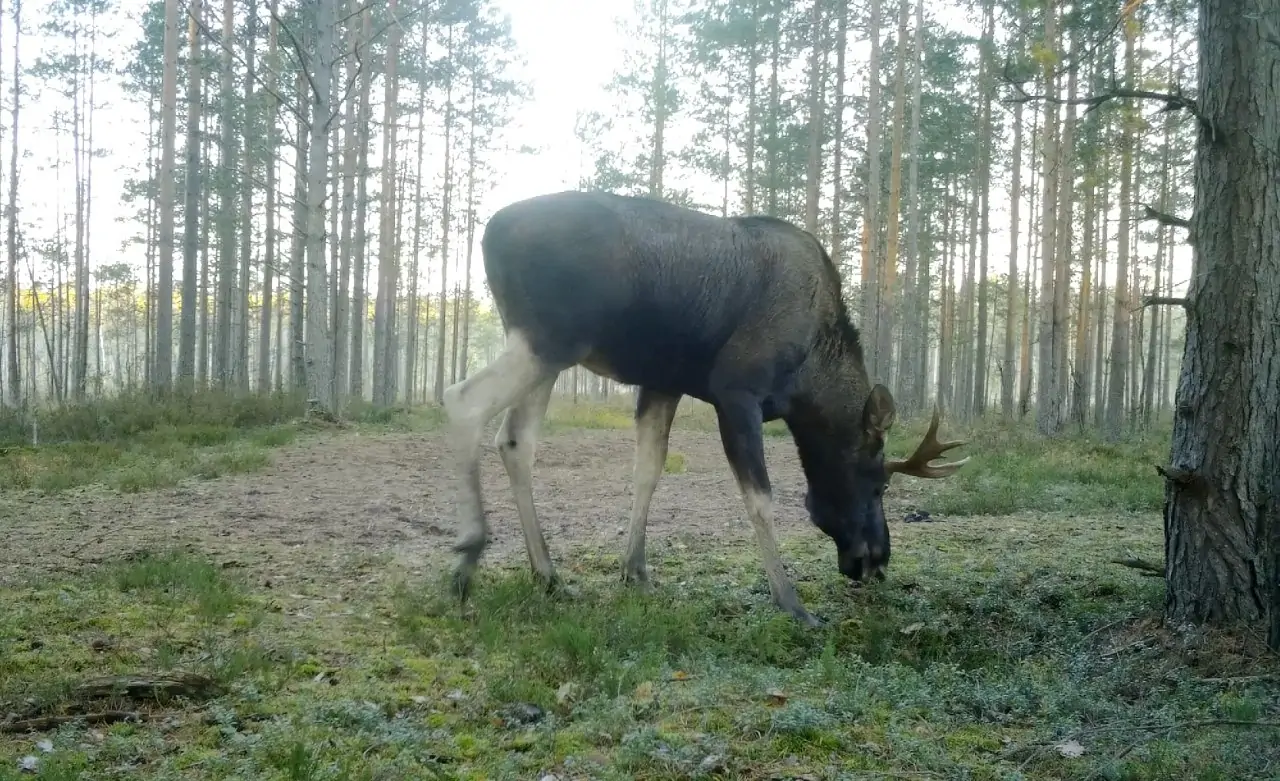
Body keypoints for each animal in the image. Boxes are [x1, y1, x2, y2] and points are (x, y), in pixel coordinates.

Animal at [441, 190, 968, 627]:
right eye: (879, 485)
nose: (877, 559)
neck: (810, 376)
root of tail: (489, 233)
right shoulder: (736, 391)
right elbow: (760, 498)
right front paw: (791, 602)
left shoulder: (662, 383)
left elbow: (648, 471)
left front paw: (635, 571)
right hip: (549, 337)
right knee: (462, 400)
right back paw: (468, 557)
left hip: (549, 351)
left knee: (515, 439)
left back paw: (547, 574)